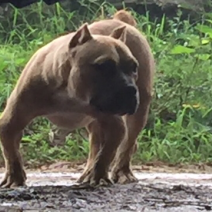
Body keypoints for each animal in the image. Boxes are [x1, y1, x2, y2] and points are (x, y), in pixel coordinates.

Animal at [0, 10, 154, 188]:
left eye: (134, 68)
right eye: (104, 66)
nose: (130, 89)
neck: (71, 94)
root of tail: (120, 20)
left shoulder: (115, 125)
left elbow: (106, 154)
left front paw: (99, 176)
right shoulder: (12, 119)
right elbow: (11, 151)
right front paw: (14, 177)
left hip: (139, 112)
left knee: (127, 144)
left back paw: (121, 172)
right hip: (96, 123)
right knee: (96, 142)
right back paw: (88, 172)